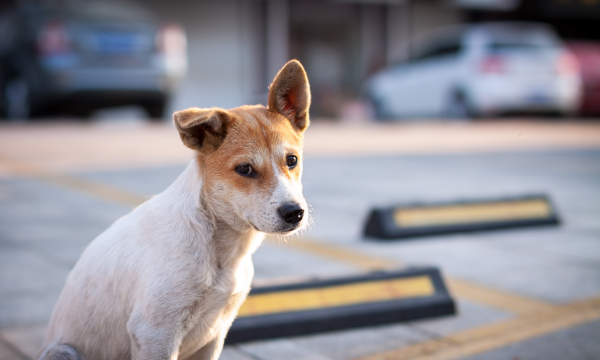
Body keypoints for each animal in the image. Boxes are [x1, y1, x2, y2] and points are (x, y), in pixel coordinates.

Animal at [38, 59, 312, 360]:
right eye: (245, 169)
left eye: (292, 160)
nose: (295, 212)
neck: (219, 247)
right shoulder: (154, 332)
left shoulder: (214, 335)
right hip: (62, 351)